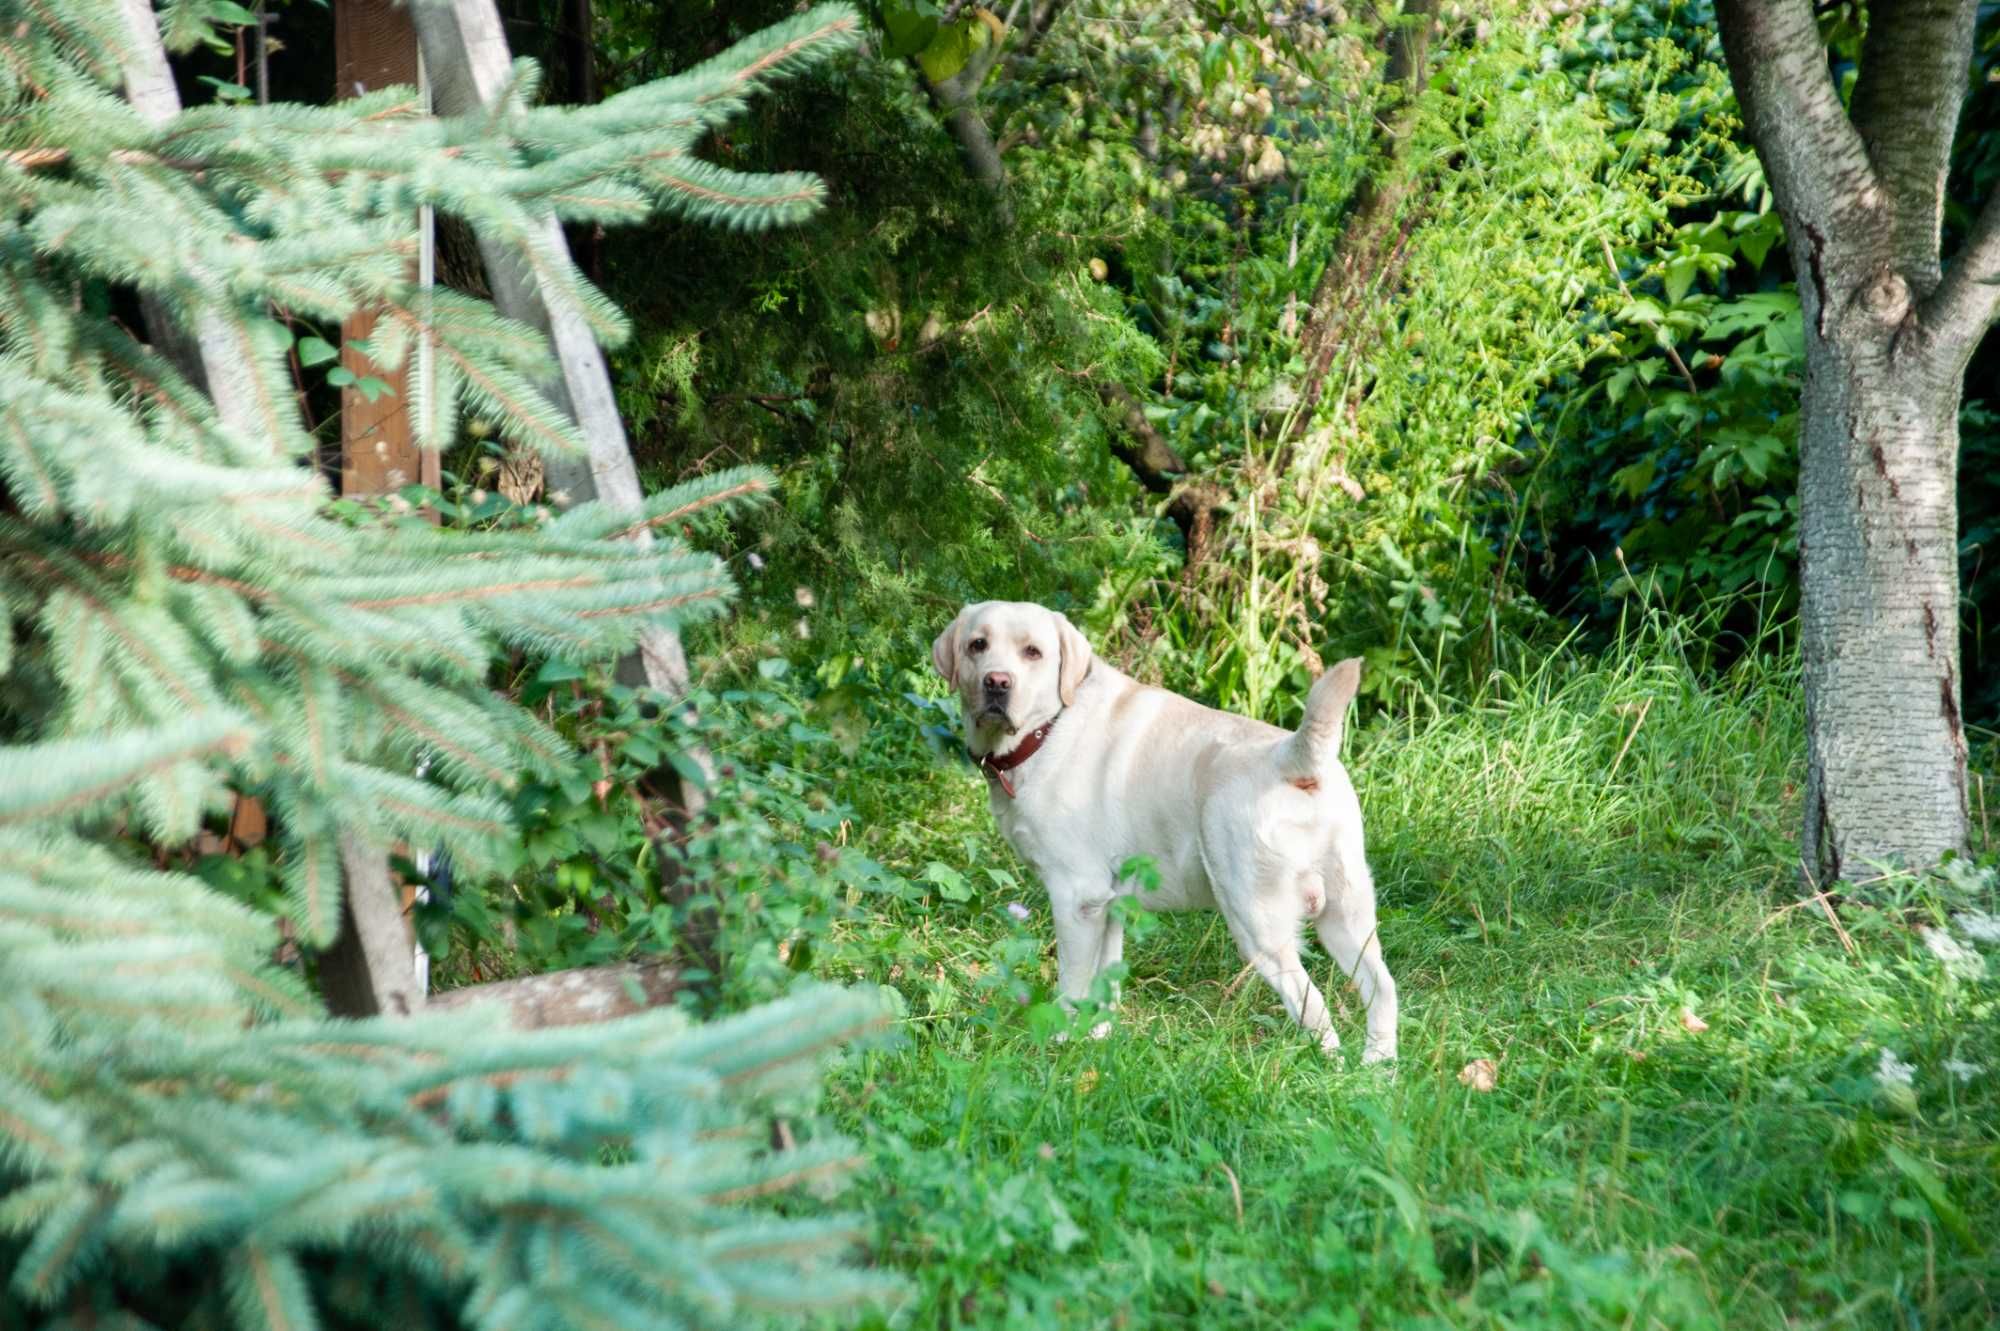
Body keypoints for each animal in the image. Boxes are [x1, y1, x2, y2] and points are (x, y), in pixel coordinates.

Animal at [932, 599, 1392, 1055]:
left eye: (1033, 652)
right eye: (977, 645)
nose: (997, 682)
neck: (1048, 728)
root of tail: (1291, 758)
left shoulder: (1076, 898)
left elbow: (1073, 983)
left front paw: (1059, 1042)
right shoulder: (1110, 905)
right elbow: (1104, 984)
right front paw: (1097, 1041)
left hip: (1255, 918)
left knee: (1315, 1009)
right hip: (1346, 914)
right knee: (1382, 988)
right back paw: (1377, 1065)